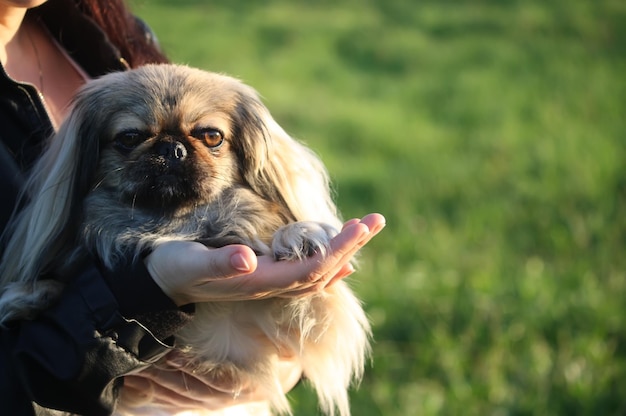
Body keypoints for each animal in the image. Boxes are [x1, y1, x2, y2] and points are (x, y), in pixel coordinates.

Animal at [0, 63, 370, 414]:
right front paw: (26, 296)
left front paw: (297, 234)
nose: (172, 147)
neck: (175, 224)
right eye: (130, 137)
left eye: (211, 136)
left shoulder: (311, 321)